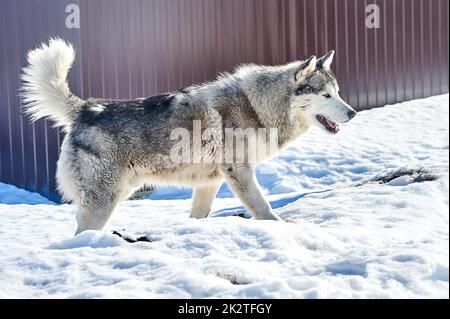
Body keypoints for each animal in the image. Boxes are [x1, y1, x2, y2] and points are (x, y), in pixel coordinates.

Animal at [21, 38, 356, 236]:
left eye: (338, 93)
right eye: (326, 95)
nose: (353, 113)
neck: (258, 106)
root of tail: (86, 109)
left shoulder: (210, 181)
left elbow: (199, 215)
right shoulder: (240, 172)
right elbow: (263, 208)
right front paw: (284, 229)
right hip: (104, 201)